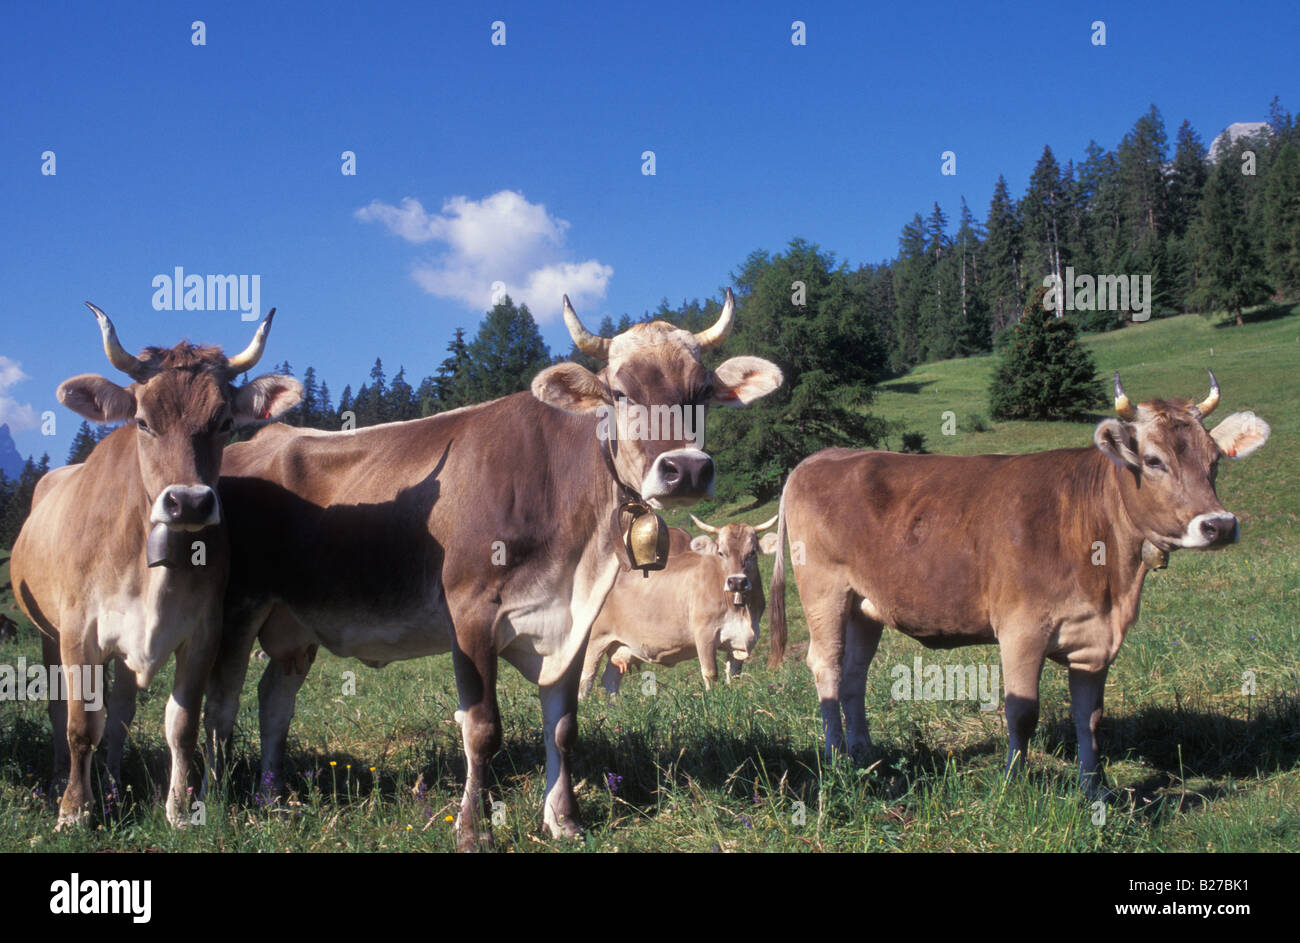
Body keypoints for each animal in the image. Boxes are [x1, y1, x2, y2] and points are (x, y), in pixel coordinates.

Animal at [9, 305, 301, 827]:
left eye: (225, 421)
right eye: (143, 422)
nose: (189, 502)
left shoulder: (202, 632)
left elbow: (180, 725)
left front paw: (179, 809)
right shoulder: (78, 632)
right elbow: (80, 724)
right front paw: (73, 812)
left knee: (121, 715)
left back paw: (111, 785)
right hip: (47, 632)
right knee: (59, 711)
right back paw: (61, 782)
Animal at [579, 514, 778, 697]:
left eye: (752, 552)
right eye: (721, 553)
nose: (737, 582)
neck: (742, 611)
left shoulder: (741, 639)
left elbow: (734, 675)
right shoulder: (704, 634)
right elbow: (710, 673)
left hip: (620, 646)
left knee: (610, 678)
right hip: (593, 642)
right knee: (585, 682)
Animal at [768, 373, 1269, 796]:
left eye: (1215, 460)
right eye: (1153, 461)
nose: (1220, 525)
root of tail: (823, 456)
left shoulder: (1094, 638)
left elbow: (1090, 718)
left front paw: (1094, 789)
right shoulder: (1022, 629)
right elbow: (1022, 711)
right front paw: (1013, 784)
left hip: (865, 605)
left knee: (854, 674)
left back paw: (865, 756)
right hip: (824, 592)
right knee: (827, 667)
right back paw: (838, 761)